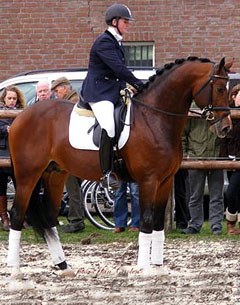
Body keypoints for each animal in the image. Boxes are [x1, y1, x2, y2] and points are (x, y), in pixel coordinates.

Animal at [6, 56, 232, 278]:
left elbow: (158, 223)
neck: (154, 118)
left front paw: (158, 268)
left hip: (55, 174)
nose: (226, 127)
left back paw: (63, 266)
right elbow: (147, 221)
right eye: (220, 89)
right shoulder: (149, 181)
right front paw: (144, 270)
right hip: (28, 175)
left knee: (50, 218)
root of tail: (20, 118)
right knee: (17, 214)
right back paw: (15, 271)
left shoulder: (165, 181)